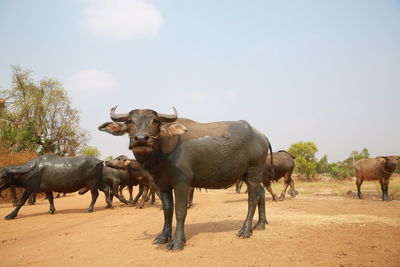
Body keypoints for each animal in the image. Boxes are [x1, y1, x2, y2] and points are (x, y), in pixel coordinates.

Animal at [99, 105, 274, 250]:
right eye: (130, 121)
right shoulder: (162, 185)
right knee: (261, 194)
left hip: (253, 173)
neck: (162, 154)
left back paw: (245, 230)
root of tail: (263, 136)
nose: (141, 139)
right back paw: (260, 224)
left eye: (155, 121)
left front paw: (177, 241)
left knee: (252, 200)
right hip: (247, 176)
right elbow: (167, 210)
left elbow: (180, 211)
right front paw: (163, 237)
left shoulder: (182, 183)